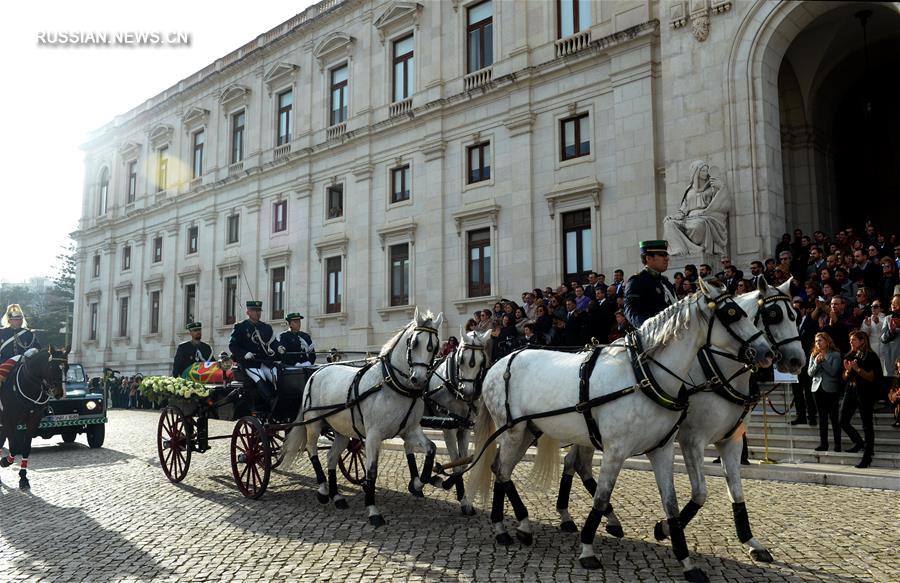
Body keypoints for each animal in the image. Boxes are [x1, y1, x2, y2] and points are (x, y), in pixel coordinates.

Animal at [0, 346, 67, 488]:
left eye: (67, 367)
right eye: (51, 367)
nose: (59, 393)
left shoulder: (33, 421)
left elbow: (26, 447)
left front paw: (23, 477)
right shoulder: (9, 421)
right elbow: (14, 447)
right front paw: (5, 461)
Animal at [284, 310, 442, 528]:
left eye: (435, 346)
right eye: (414, 342)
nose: (419, 379)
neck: (392, 385)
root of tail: (318, 371)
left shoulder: (410, 430)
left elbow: (431, 449)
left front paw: (418, 484)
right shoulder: (374, 435)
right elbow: (372, 471)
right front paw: (373, 509)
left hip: (341, 431)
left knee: (331, 456)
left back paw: (336, 496)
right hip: (313, 424)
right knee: (311, 450)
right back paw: (323, 490)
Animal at [408, 330, 492, 512]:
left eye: (481, 361)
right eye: (461, 360)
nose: (468, 392)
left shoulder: (465, 428)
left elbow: (463, 461)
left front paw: (464, 499)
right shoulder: (449, 429)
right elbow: (456, 463)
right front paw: (444, 483)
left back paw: (416, 486)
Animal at [472, 280, 772, 580]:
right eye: (732, 314)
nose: (767, 352)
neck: (643, 375)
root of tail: (498, 363)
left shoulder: (662, 449)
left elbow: (672, 504)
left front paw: (685, 559)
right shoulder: (616, 450)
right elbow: (601, 498)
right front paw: (587, 549)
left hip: (527, 431)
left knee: (501, 469)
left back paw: (519, 525)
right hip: (512, 432)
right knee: (503, 472)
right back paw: (503, 528)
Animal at [560, 280, 804, 564]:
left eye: (795, 315)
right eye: (774, 315)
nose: (797, 360)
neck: (716, 372)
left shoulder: (730, 441)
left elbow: (737, 492)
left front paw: (750, 541)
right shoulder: (691, 440)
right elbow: (700, 493)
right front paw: (665, 528)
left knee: (576, 464)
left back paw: (594, 517)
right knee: (577, 464)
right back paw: (578, 516)